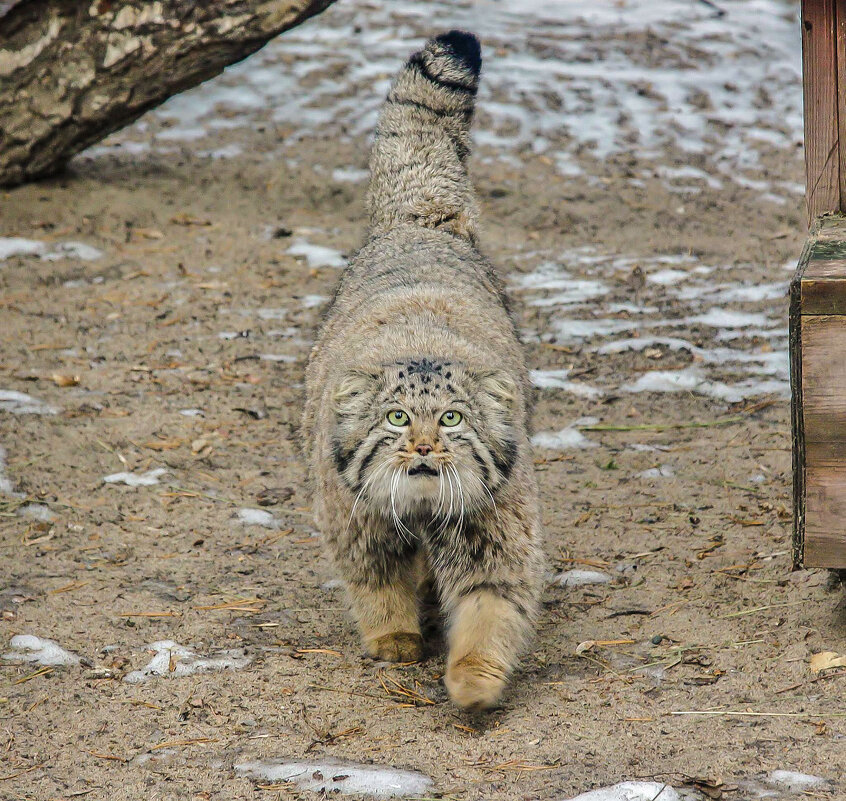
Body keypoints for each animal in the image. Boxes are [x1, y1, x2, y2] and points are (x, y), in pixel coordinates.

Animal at [304, 31, 544, 708]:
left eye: (454, 419)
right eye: (395, 417)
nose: (424, 447)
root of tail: (416, 224)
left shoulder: (495, 530)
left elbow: (489, 610)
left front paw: (472, 682)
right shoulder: (356, 520)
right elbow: (378, 587)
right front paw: (396, 639)